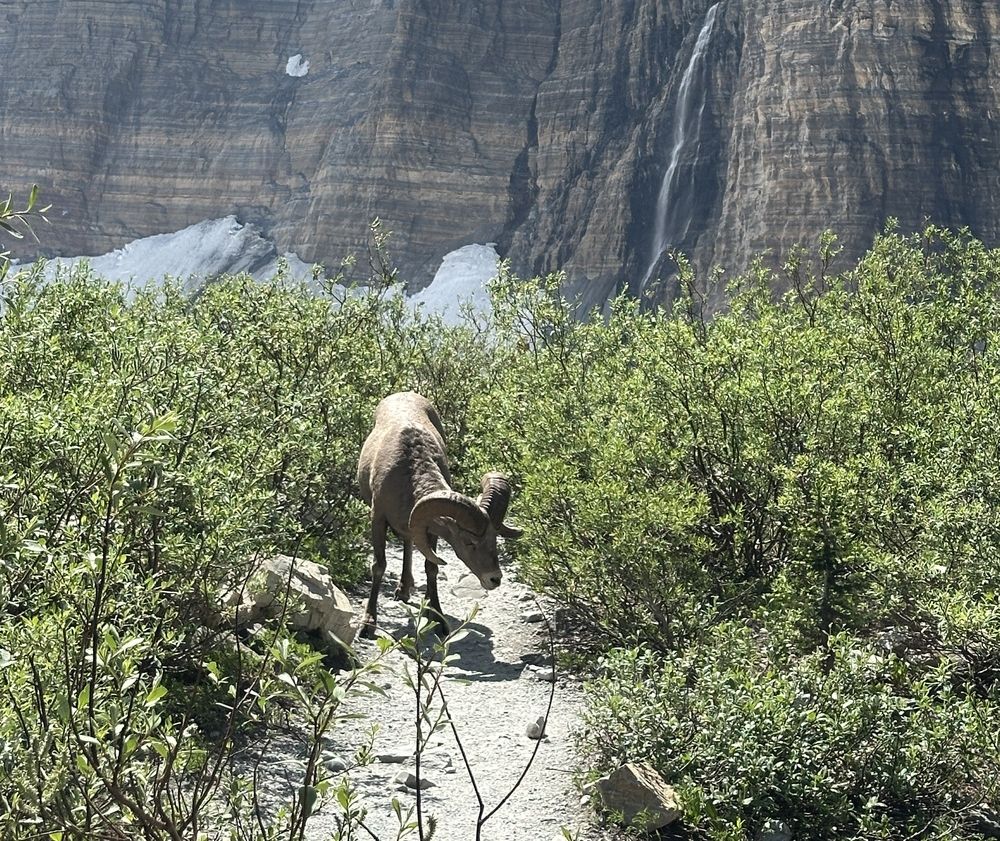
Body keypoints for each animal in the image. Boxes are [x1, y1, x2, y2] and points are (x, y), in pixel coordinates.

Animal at [356, 391, 522, 638]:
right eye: (469, 542)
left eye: (494, 539)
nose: (495, 579)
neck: (406, 475)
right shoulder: (378, 518)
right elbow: (379, 566)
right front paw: (367, 625)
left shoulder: (429, 530)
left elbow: (431, 568)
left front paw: (437, 618)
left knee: (409, 542)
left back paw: (405, 590)